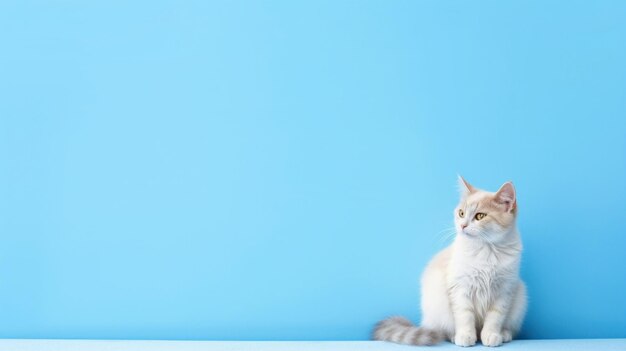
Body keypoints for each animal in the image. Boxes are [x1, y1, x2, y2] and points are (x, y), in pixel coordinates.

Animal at [372, 177, 524, 348]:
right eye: (461, 213)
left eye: (480, 216)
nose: (462, 225)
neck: (486, 251)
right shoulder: (460, 287)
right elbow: (464, 316)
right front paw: (465, 336)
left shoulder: (504, 291)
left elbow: (495, 318)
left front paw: (491, 335)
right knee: (444, 330)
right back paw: (454, 336)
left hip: (520, 295)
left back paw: (503, 334)